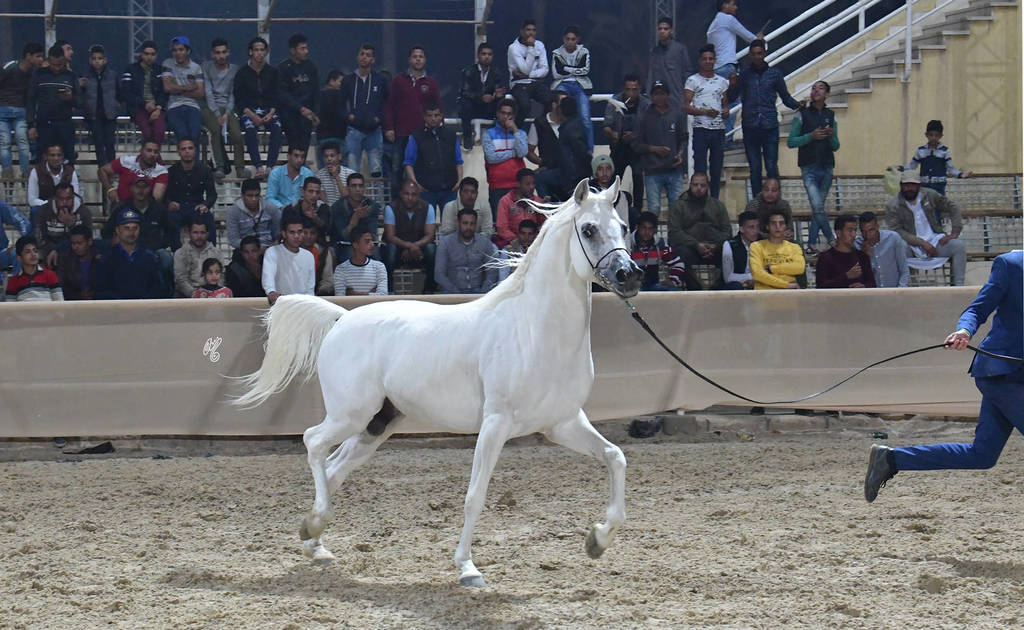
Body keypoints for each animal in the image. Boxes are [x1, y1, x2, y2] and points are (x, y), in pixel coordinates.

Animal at [233, 178, 643, 587]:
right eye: (588, 230)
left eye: (623, 226)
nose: (629, 275)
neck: (533, 330)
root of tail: (341, 319)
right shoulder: (496, 424)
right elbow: (475, 496)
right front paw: (467, 568)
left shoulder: (562, 423)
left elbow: (616, 457)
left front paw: (598, 540)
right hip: (350, 414)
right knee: (313, 443)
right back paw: (315, 523)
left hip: (377, 425)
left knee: (333, 468)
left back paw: (314, 543)